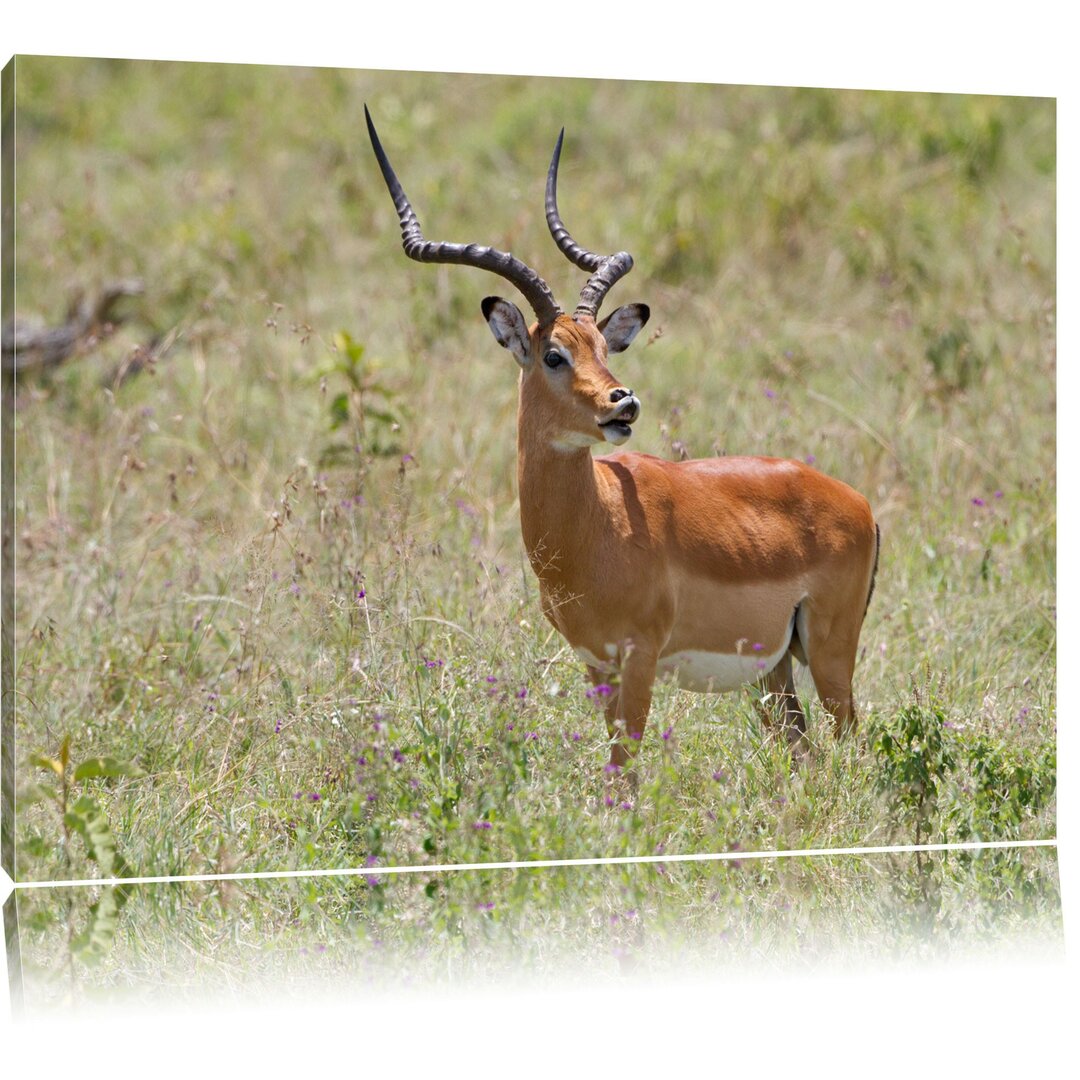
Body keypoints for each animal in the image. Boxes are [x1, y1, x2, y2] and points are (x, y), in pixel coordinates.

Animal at [367, 107, 881, 786]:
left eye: (602, 347)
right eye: (554, 354)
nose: (623, 402)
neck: (597, 525)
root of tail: (860, 505)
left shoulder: (639, 657)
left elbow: (627, 770)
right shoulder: (596, 662)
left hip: (828, 651)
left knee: (850, 745)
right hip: (773, 670)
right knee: (804, 747)